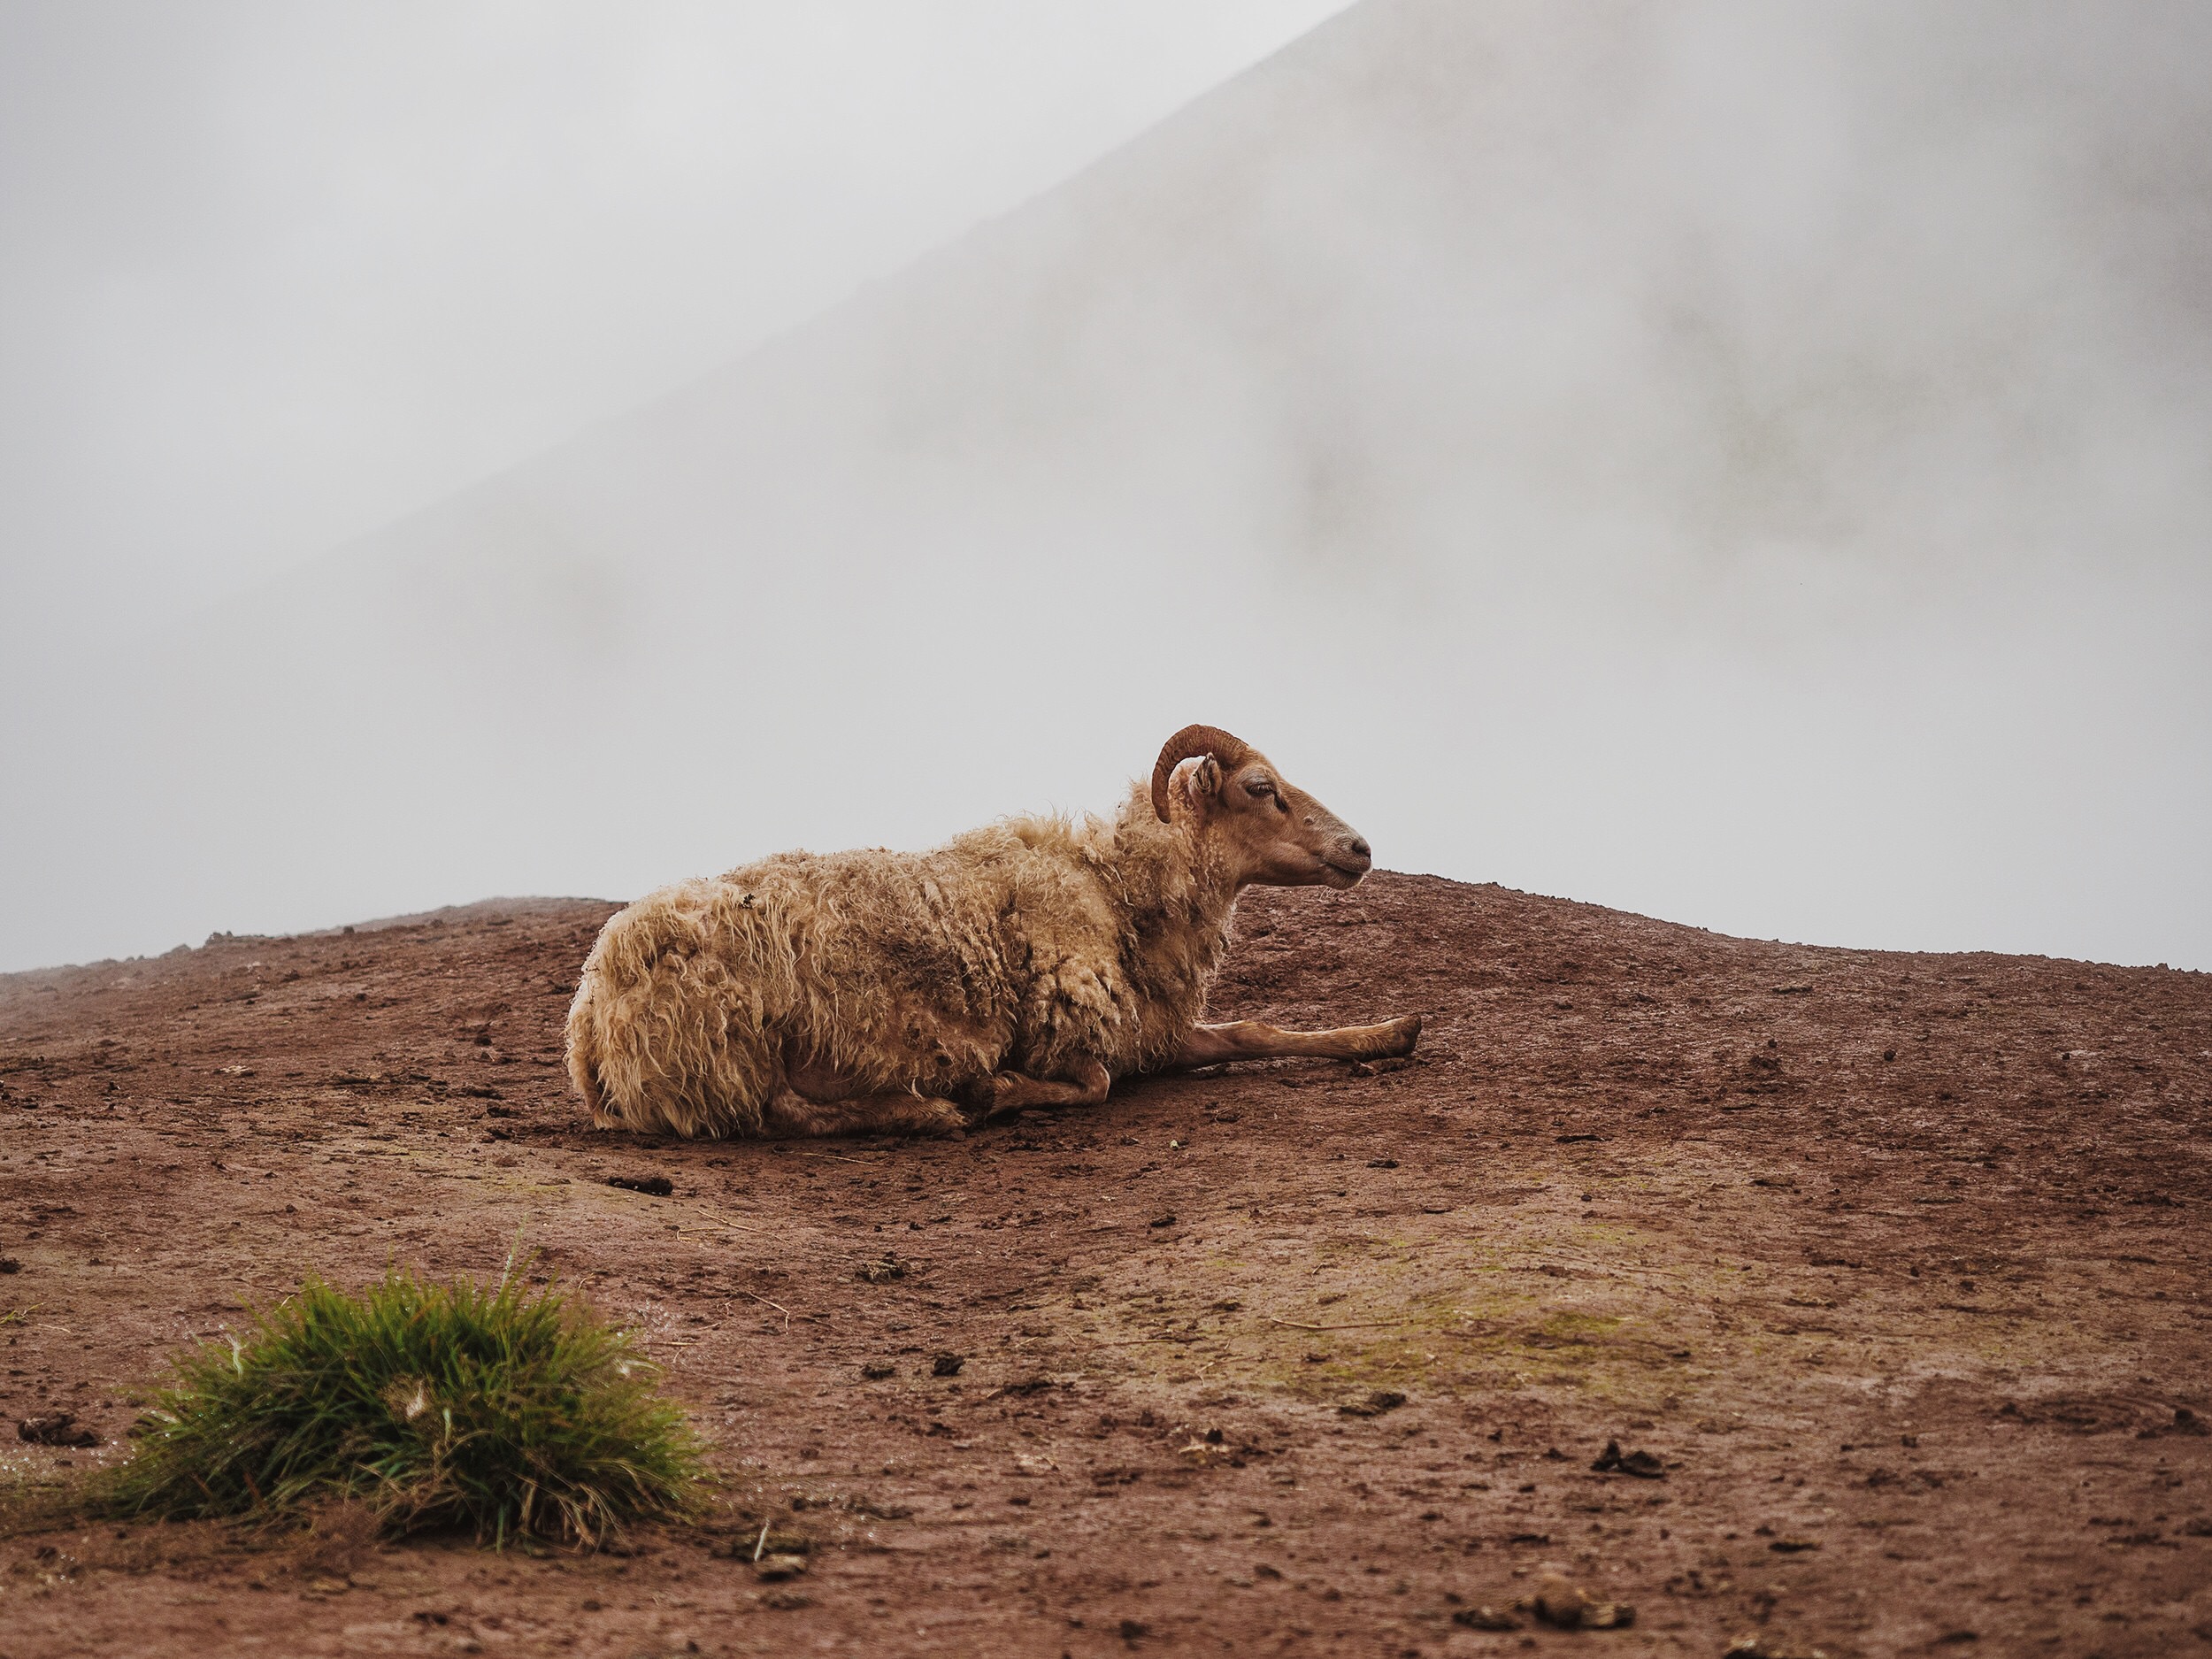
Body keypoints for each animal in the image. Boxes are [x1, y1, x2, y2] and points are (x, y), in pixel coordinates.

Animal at [566, 726, 1416, 1141]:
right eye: (1260, 788)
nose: (1361, 848)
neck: (1115, 889)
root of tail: (588, 1023)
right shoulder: (1069, 1025)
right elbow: (1093, 1085)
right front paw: (997, 1089)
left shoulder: (1149, 1032)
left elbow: (1251, 1030)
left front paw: (1392, 1031)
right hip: (731, 1045)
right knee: (783, 1113)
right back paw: (926, 1111)